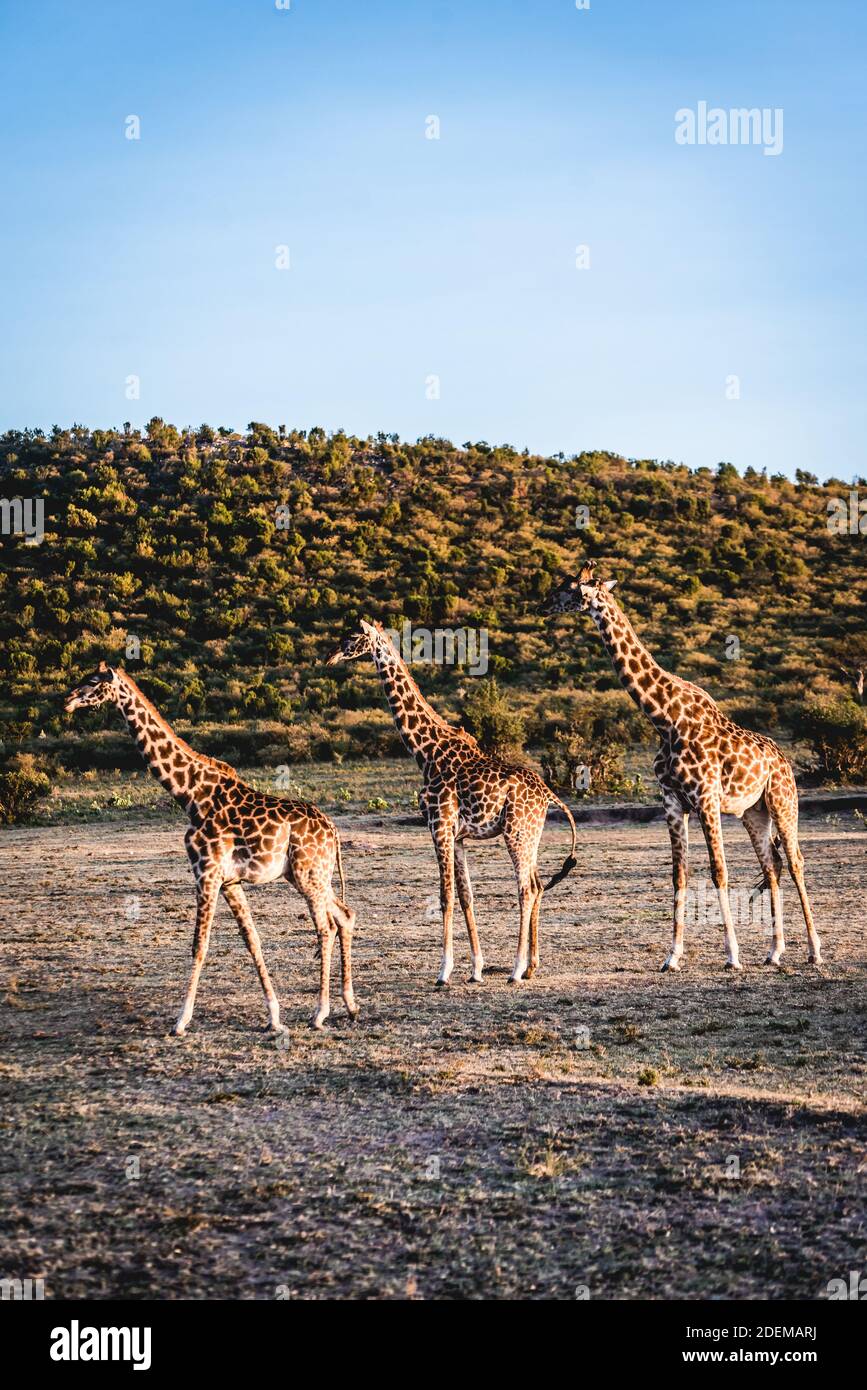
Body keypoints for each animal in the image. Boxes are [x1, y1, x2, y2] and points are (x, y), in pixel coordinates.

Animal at [65, 663, 358, 1034]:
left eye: (92, 681)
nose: (67, 700)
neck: (190, 795)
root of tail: (332, 830)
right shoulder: (229, 880)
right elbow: (252, 939)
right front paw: (274, 1016)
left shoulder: (206, 872)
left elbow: (199, 945)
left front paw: (180, 1020)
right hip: (311, 874)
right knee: (344, 915)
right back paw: (350, 1005)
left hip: (308, 874)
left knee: (325, 927)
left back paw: (320, 1013)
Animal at [327, 620, 577, 985]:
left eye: (352, 637)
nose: (330, 656)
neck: (426, 752)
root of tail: (549, 794)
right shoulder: (458, 837)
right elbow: (465, 896)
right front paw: (475, 969)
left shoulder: (439, 826)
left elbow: (445, 896)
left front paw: (443, 971)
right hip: (530, 833)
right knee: (538, 884)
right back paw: (531, 966)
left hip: (516, 832)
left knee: (527, 889)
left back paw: (516, 970)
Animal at [547, 562, 822, 972]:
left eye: (569, 587)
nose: (543, 604)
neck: (664, 718)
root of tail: (784, 760)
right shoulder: (674, 802)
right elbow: (679, 873)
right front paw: (672, 956)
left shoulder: (706, 798)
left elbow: (718, 871)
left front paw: (732, 955)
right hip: (753, 812)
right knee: (771, 864)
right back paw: (774, 951)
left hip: (782, 802)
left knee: (795, 862)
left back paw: (814, 950)